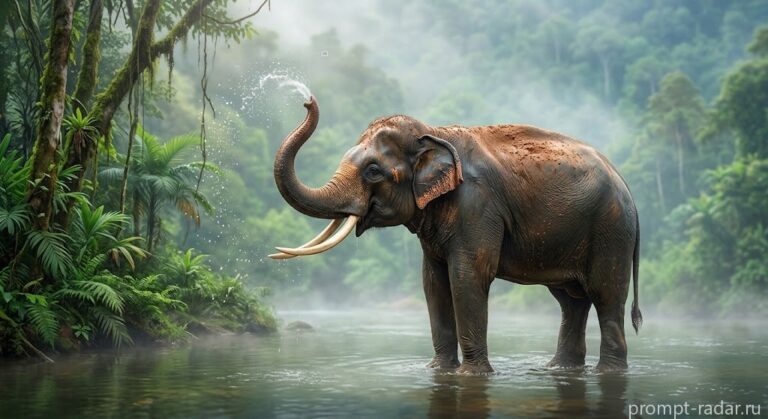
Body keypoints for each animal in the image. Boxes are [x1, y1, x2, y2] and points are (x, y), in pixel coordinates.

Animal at [269, 96, 642, 373]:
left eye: (373, 170)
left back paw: (608, 371)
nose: (306, 100)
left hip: (610, 231)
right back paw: (559, 369)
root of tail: (627, 187)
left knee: (606, 297)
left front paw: (472, 375)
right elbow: (432, 281)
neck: (434, 132)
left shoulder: (477, 207)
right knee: (571, 301)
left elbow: (467, 276)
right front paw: (438, 371)